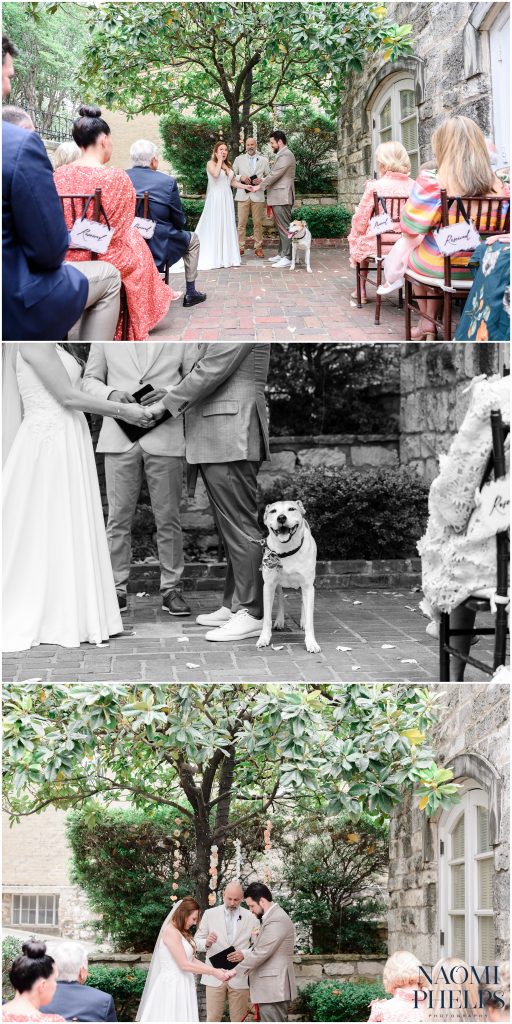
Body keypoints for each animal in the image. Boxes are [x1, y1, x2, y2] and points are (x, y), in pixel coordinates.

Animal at [256, 497, 319, 655]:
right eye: (273, 511)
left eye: (291, 509)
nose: (281, 518)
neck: (287, 550)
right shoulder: (268, 586)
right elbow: (267, 618)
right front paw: (264, 638)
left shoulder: (308, 586)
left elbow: (310, 619)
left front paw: (311, 642)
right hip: (277, 584)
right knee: (280, 598)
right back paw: (279, 621)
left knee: (303, 602)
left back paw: (302, 621)